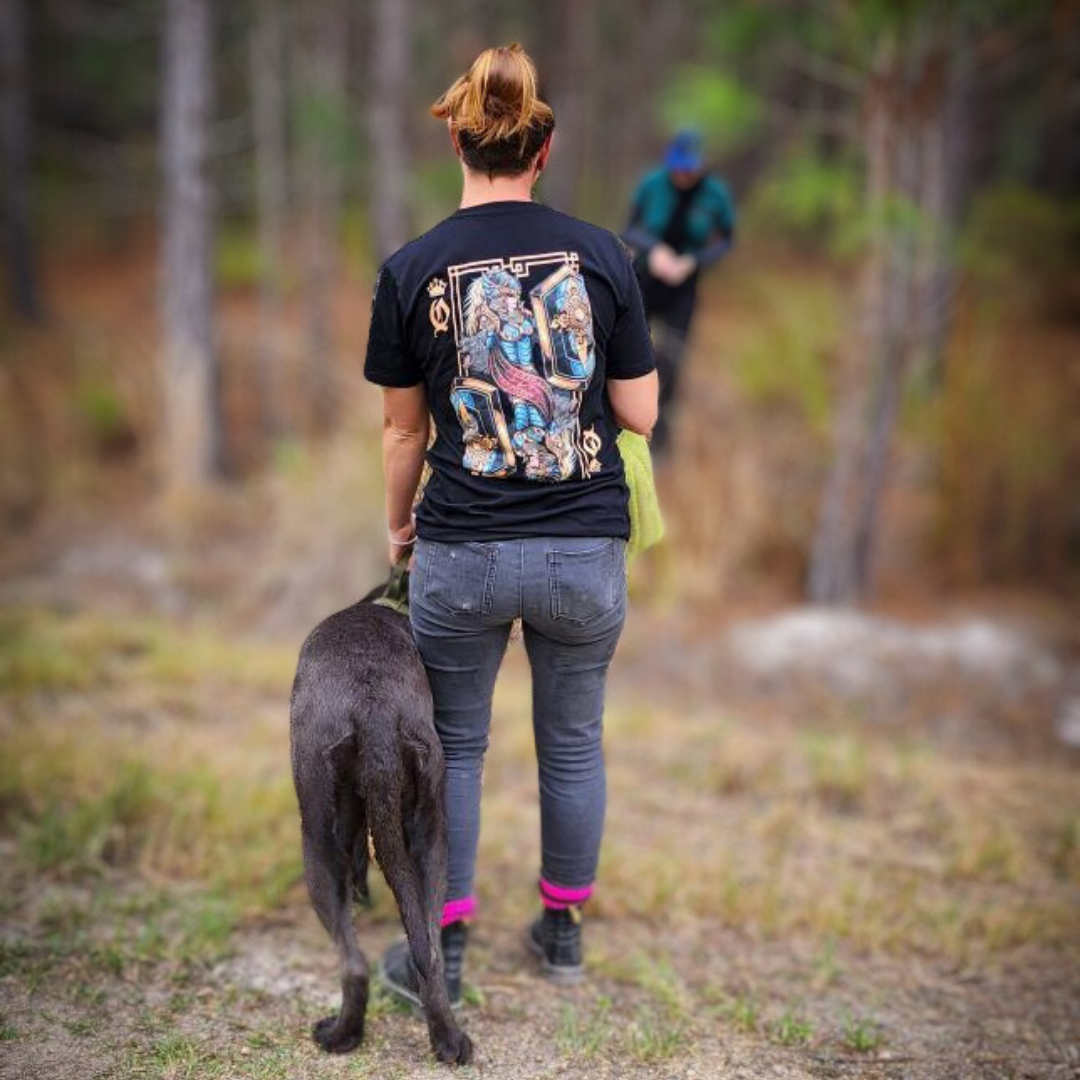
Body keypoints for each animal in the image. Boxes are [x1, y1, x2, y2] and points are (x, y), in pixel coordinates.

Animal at [289, 574, 470, 1062]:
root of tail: (375, 711)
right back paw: (450, 1042)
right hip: (432, 841)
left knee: (353, 965)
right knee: (432, 959)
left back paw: (340, 1036)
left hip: (315, 844)